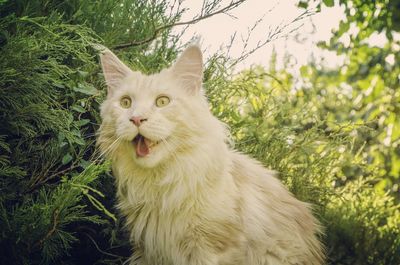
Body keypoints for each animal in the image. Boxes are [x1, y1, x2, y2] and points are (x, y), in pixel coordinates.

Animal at [97, 46, 324, 264]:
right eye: (125, 103)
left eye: (162, 102)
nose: (136, 119)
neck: (161, 186)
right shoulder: (148, 250)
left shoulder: (213, 248)